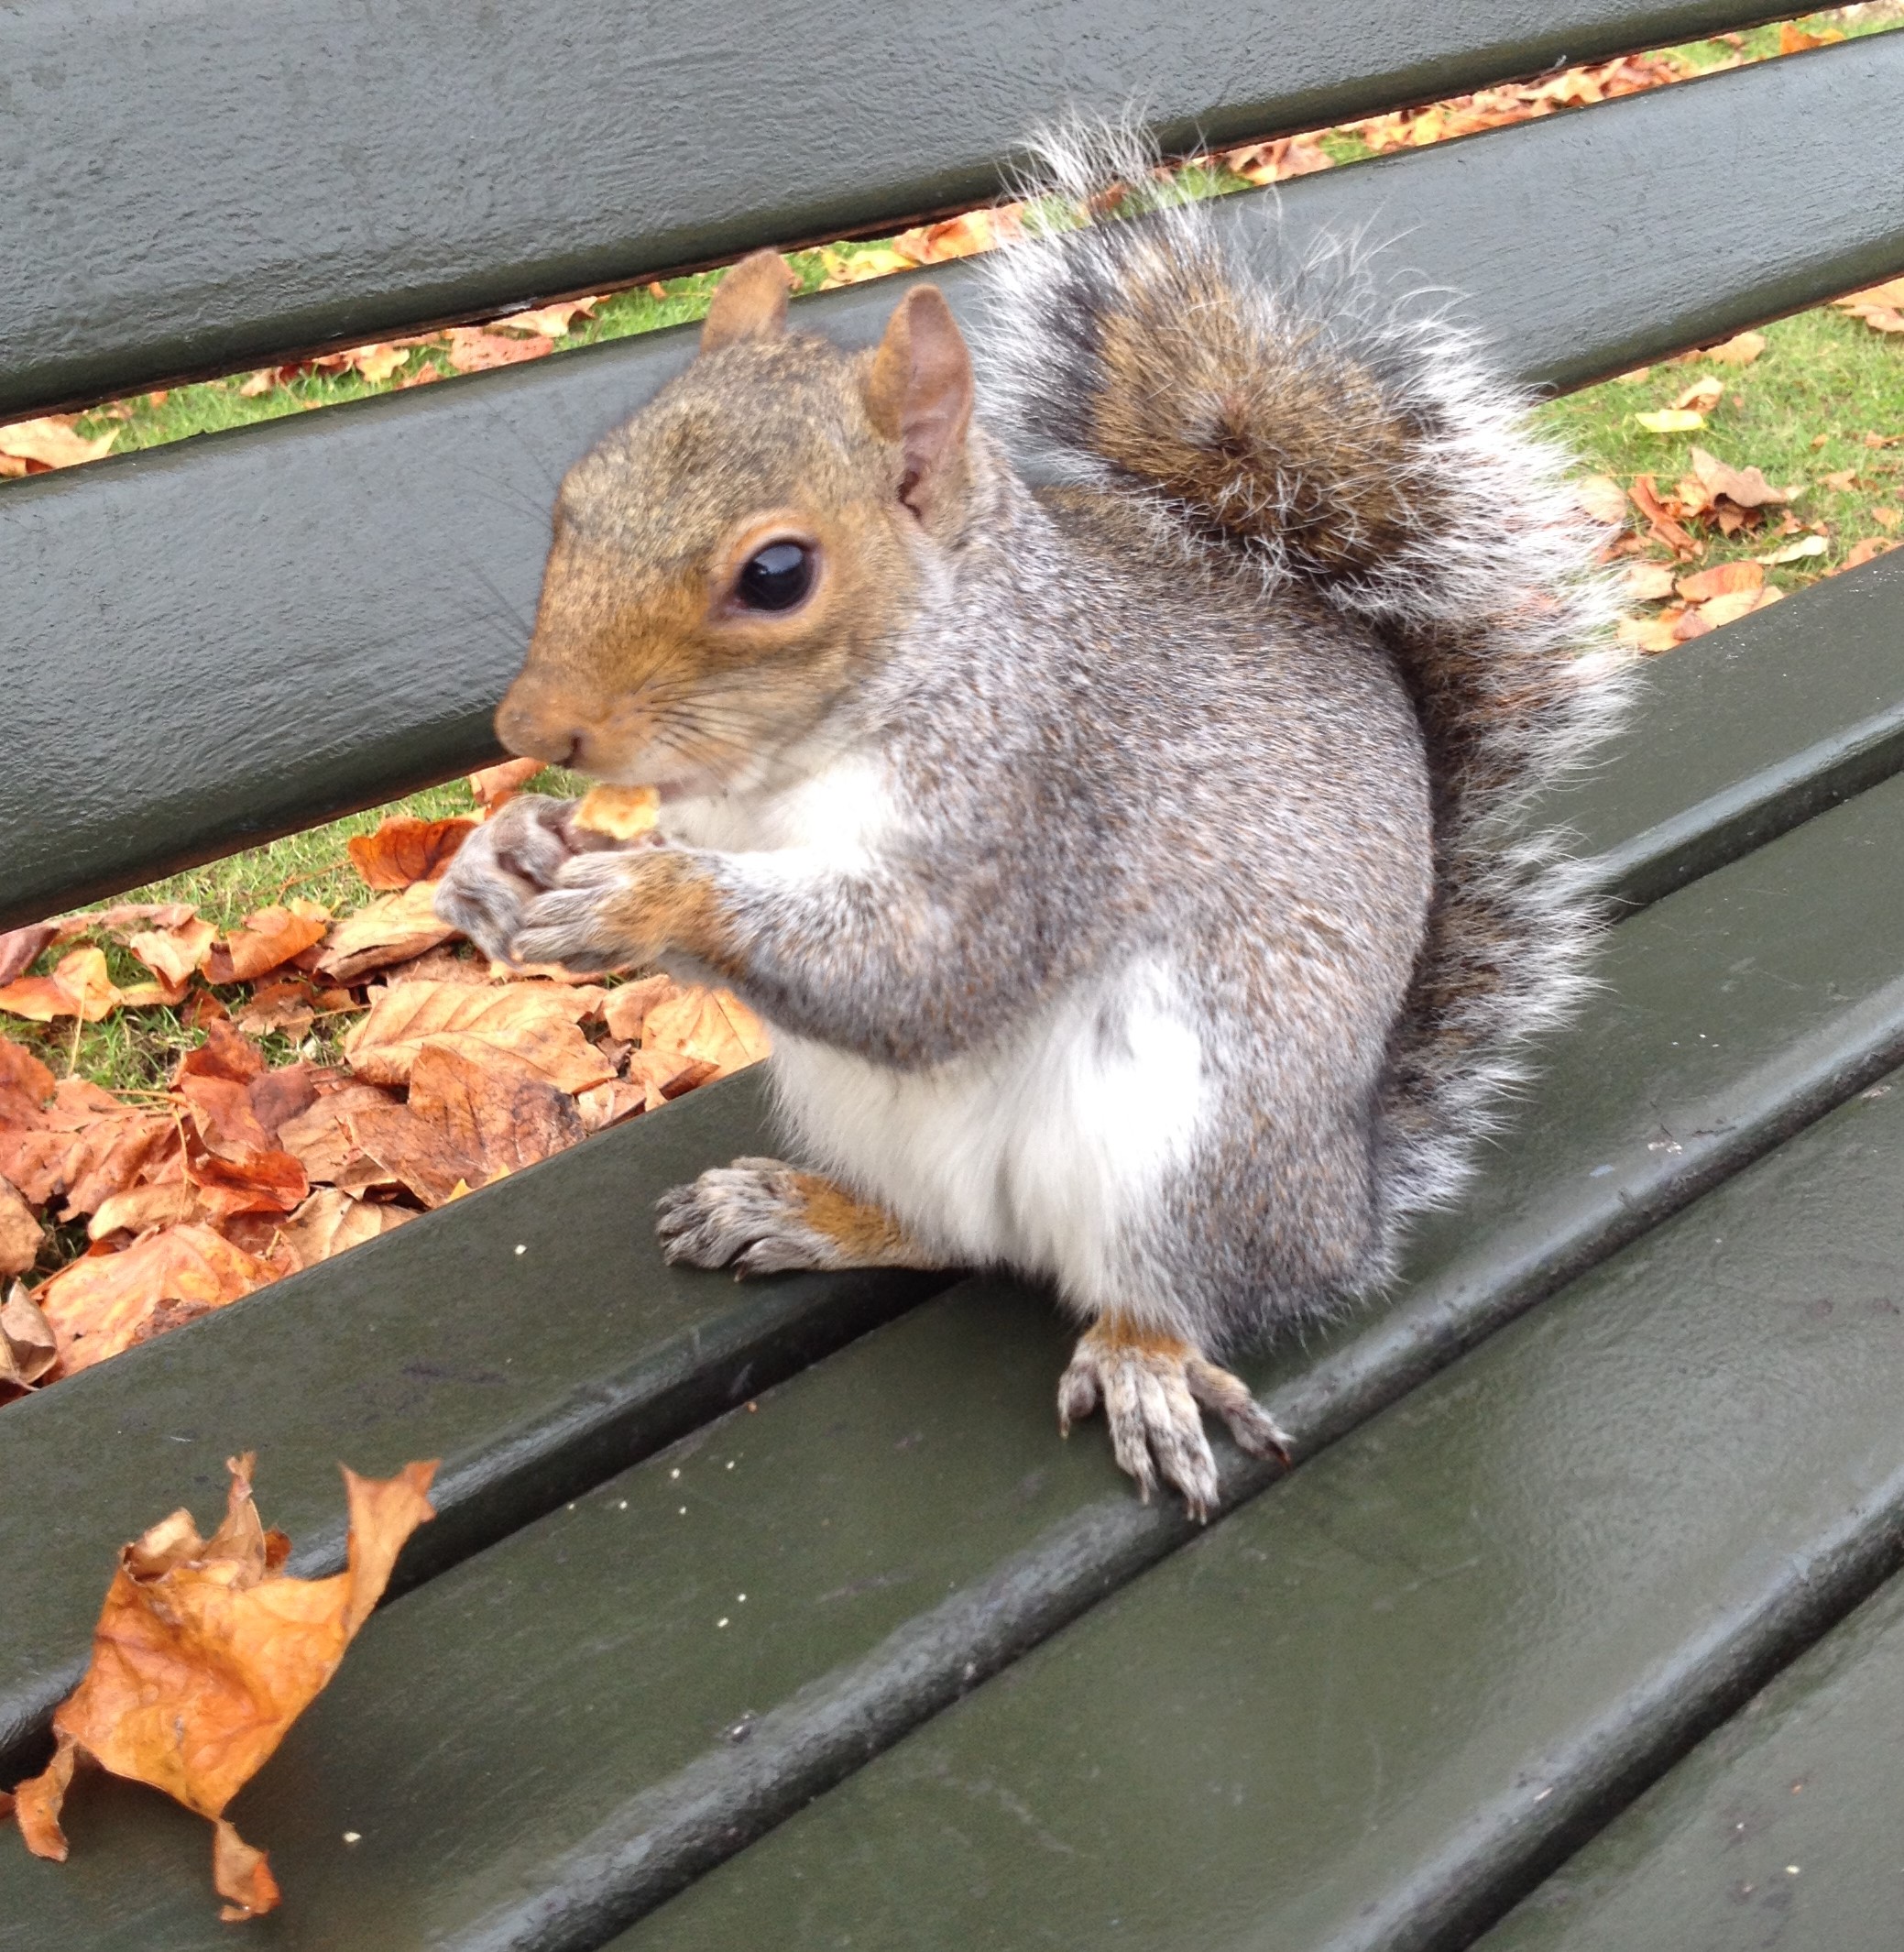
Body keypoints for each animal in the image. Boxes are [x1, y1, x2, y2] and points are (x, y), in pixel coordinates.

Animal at [439, 129, 1630, 1514]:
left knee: (1166, 1286)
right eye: (574, 497)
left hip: (1192, 1136)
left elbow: (925, 973)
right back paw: (805, 1213)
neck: (796, 763)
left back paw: (1139, 1359)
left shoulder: (1050, 799)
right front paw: (502, 855)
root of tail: (1341, 1203)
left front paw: (644, 896)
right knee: (948, 1235)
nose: (533, 726)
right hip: (869, 1116)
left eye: (777, 574)